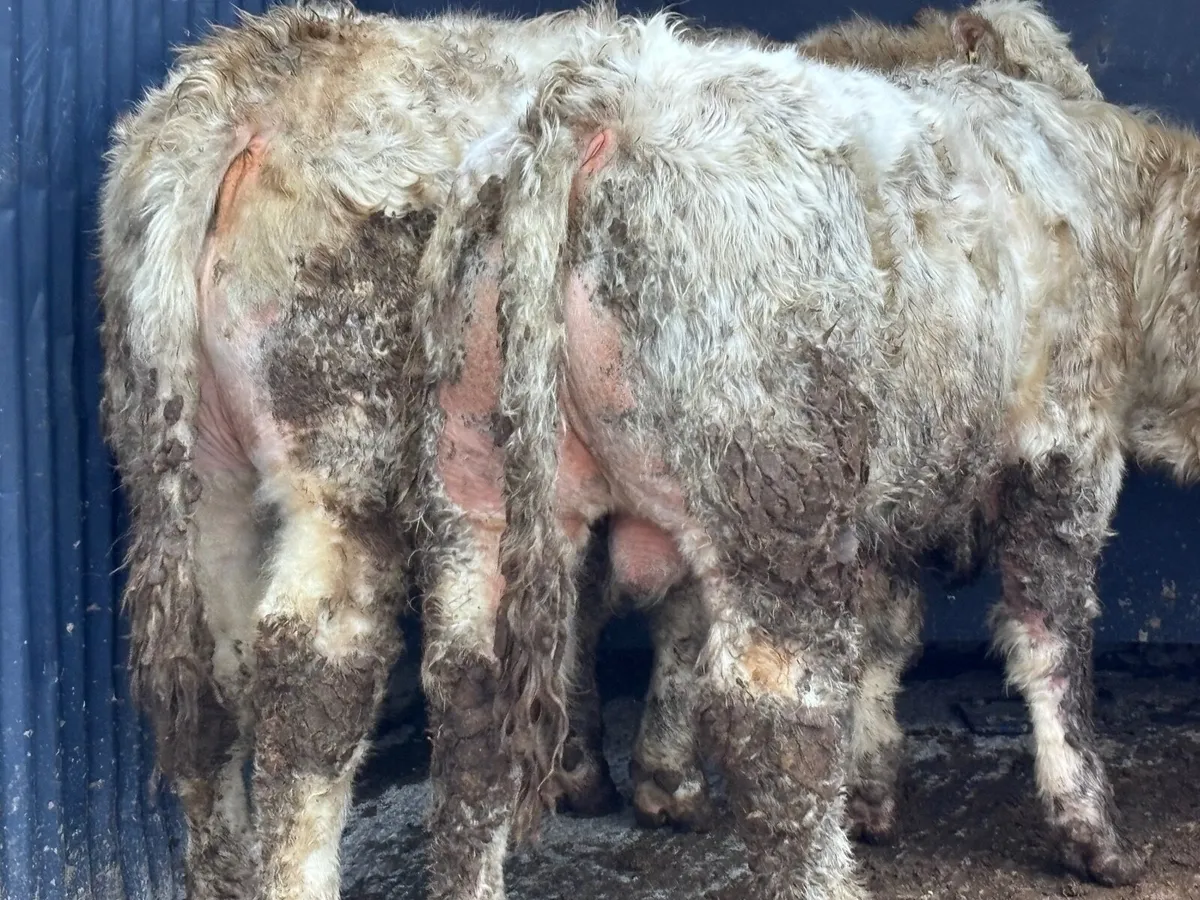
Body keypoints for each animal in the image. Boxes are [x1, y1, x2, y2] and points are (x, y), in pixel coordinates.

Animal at [416, 10, 1200, 899]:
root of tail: (602, 101)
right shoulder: (1065, 446)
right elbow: (1052, 640)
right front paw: (1090, 832)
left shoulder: (892, 491)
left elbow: (888, 635)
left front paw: (871, 792)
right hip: (775, 506)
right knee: (773, 723)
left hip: (474, 485)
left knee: (471, 700)